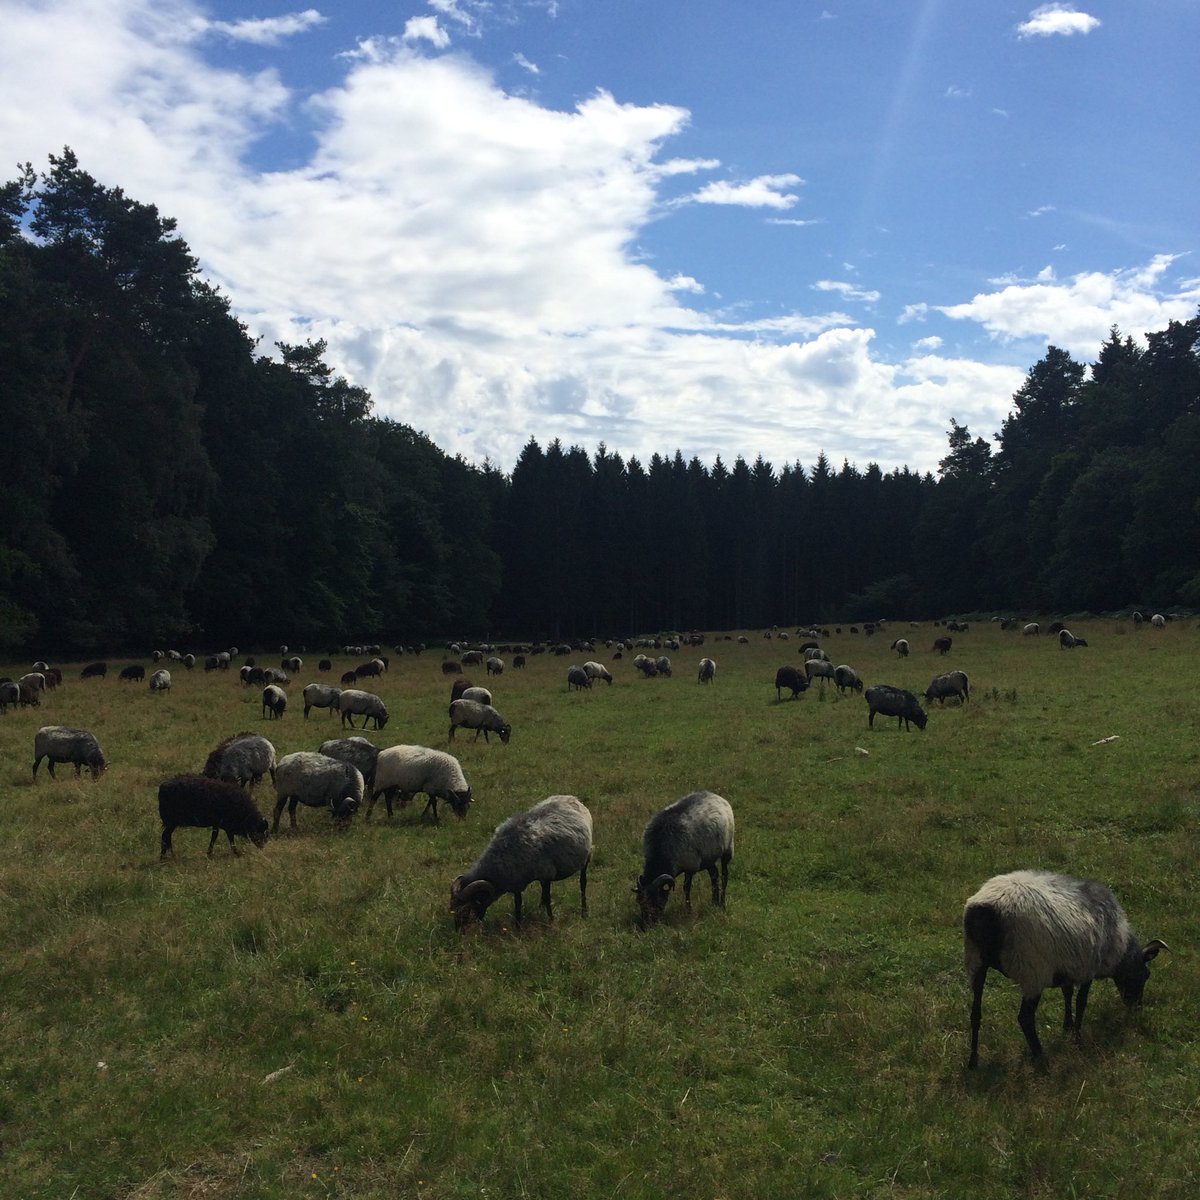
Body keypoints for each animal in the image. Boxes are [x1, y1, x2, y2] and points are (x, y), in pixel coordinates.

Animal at [449, 795, 592, 930]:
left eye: (466, 911)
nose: (459, 932)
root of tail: (572, 798)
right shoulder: (517, 882)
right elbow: (518, 905)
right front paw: (518, 927)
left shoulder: (546, 875)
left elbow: (547, 898)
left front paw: (551, 921)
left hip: (587, 856)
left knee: (583, 883)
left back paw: (584, 912)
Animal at [635, 790, 734, 927]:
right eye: (639, 901)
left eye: (656, 899)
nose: (646, 925)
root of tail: (715, 795)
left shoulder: (690, 867)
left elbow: (686, 888)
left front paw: (688, 910)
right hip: (708, 858)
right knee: (714, 875)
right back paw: (714, 902)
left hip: (727, 848)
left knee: (724, 875)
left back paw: (722, 904)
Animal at [964, 869, 1168, 1068]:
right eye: (1146, 975)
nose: (1137, 1008)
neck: (1121, 948)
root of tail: (987, 910)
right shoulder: (1089, 968)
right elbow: (1081, 1002)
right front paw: (1077, 1039)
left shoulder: (1069, 966)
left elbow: (1067, 993)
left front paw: (1067, 1026)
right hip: (1033, 971)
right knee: (1025, 1018)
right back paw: (1041, 1058)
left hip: (976, 962)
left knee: (975, 1014)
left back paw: (973, 1061)